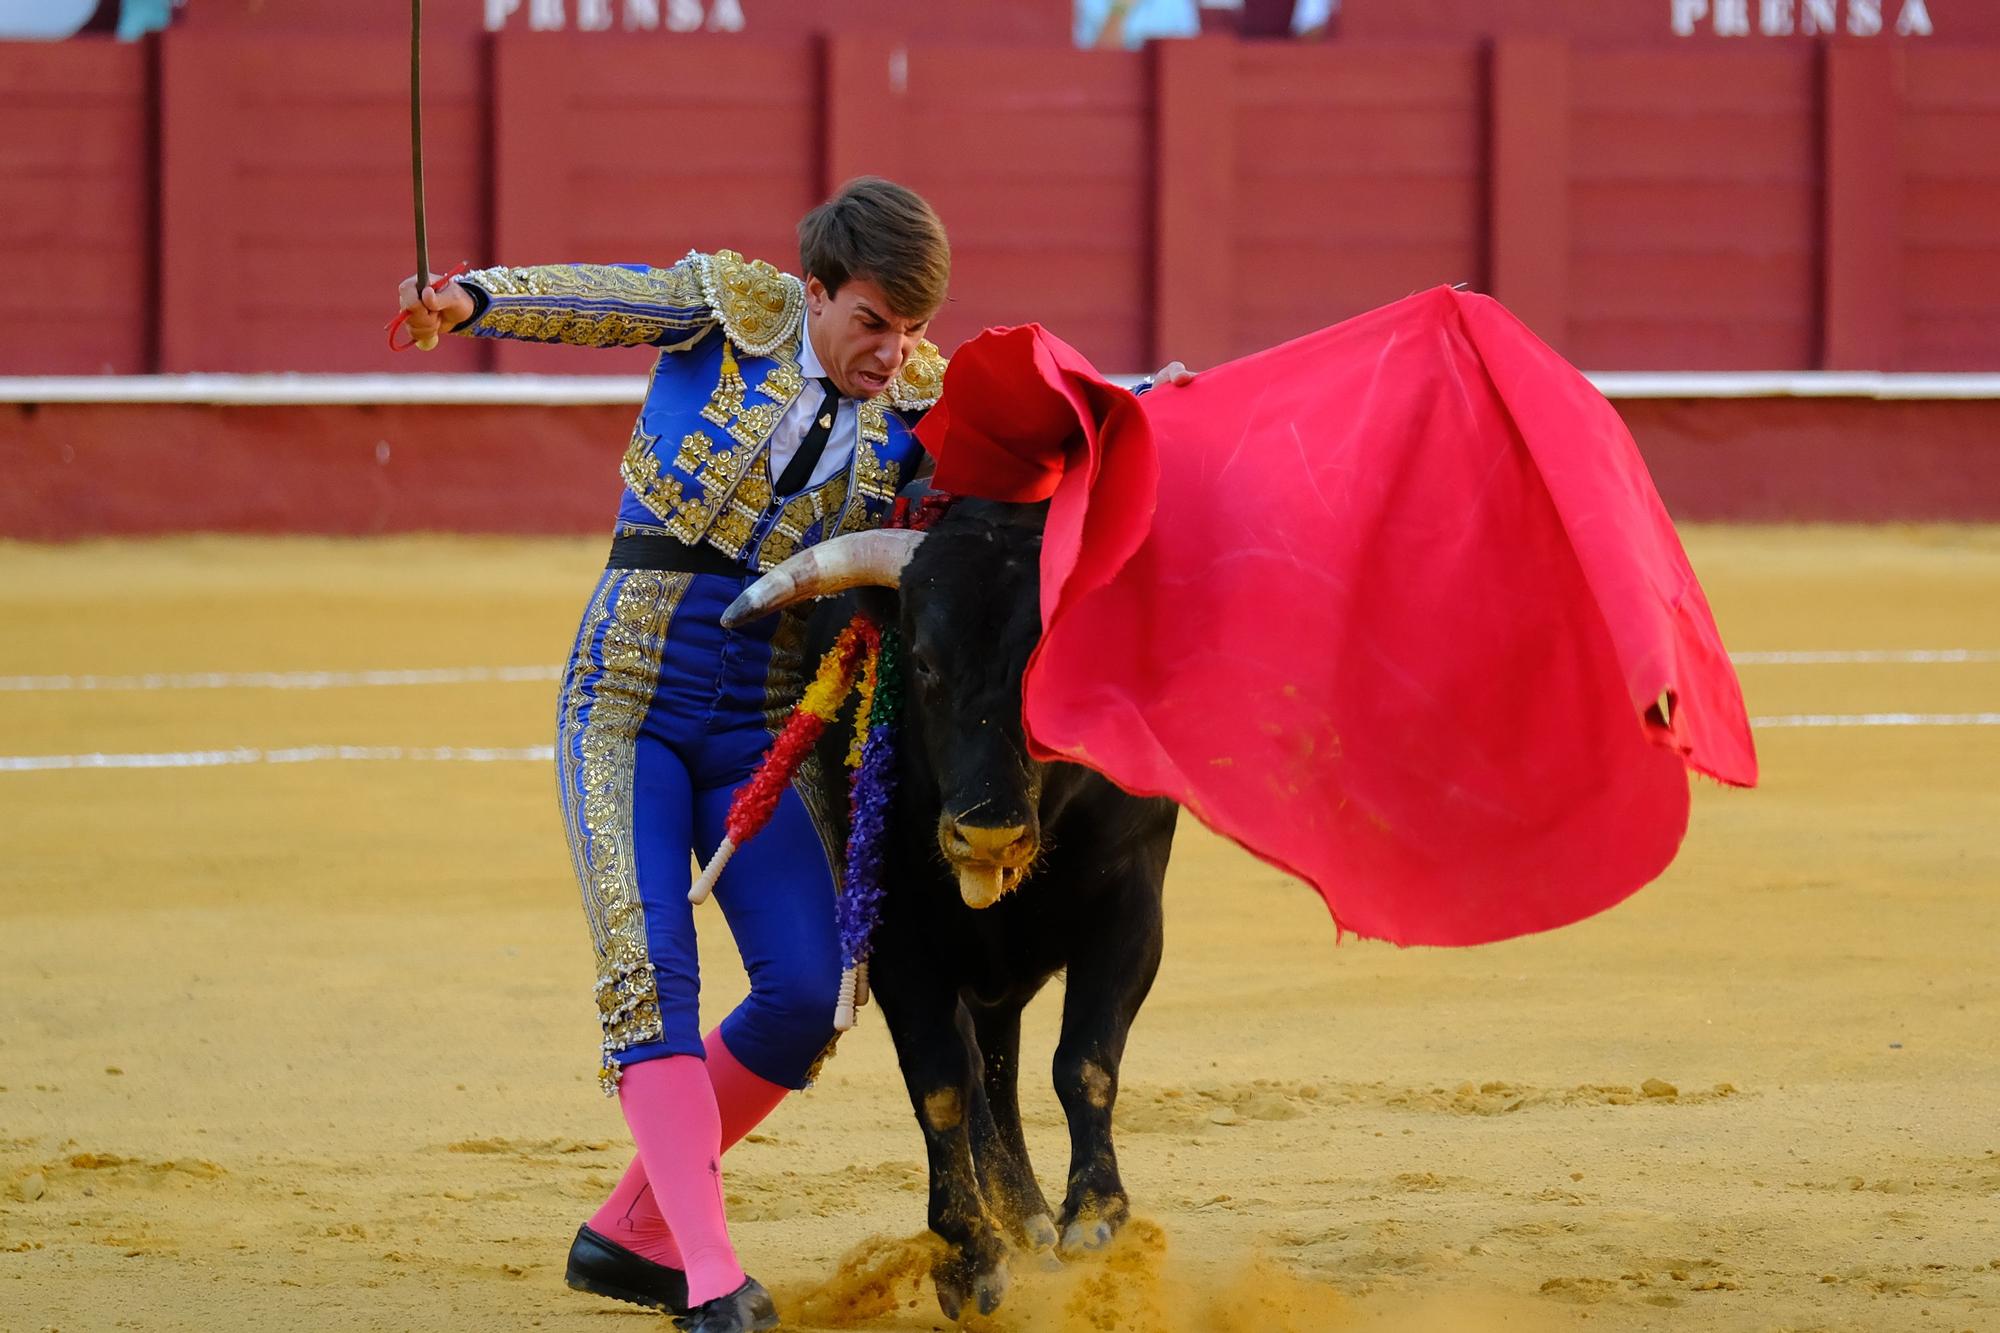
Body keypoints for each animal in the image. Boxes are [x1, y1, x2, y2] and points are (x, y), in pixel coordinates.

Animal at [728, 498, 1176, 1320]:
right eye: (925, 664)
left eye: (1052, 673)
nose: (988, 830)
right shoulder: (898, 938)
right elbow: (940, 1084)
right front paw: (970, 1256)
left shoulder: (1133, 907)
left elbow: (1086, 1061)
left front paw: (1096, 1217)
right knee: (977, 1065)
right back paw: (1019, 1219)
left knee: (1002, 1056)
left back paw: (1032, 1216)